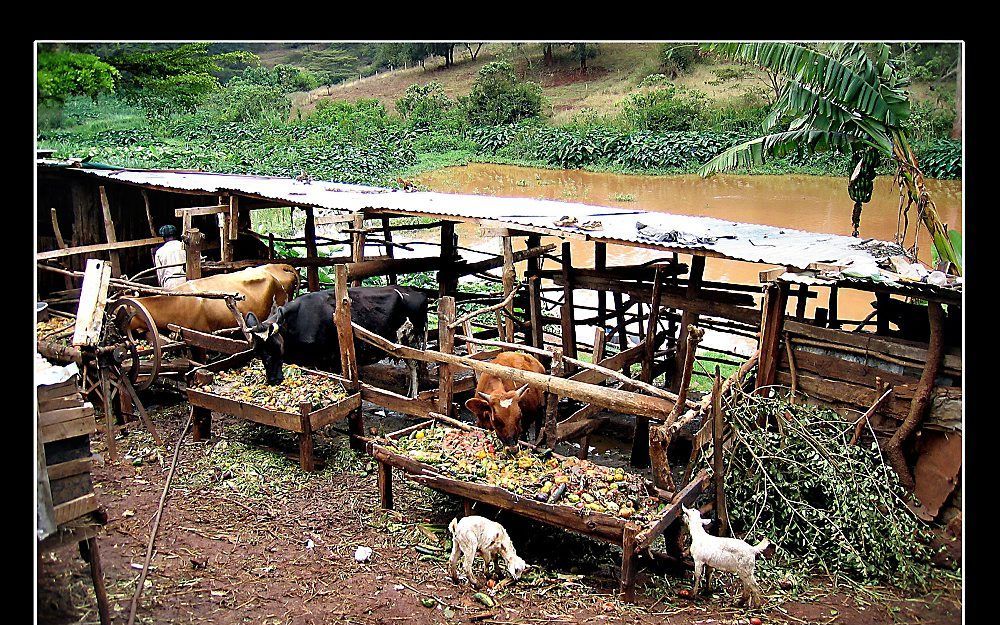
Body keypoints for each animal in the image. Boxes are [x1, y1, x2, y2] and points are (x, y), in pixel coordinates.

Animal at [247, 284, 430, 392]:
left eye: (276, 347)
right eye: (257, 351)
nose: (273, 380)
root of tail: (417, 292)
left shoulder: (328, 360)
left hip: (412, 340)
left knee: (414, 368)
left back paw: (413, 397)